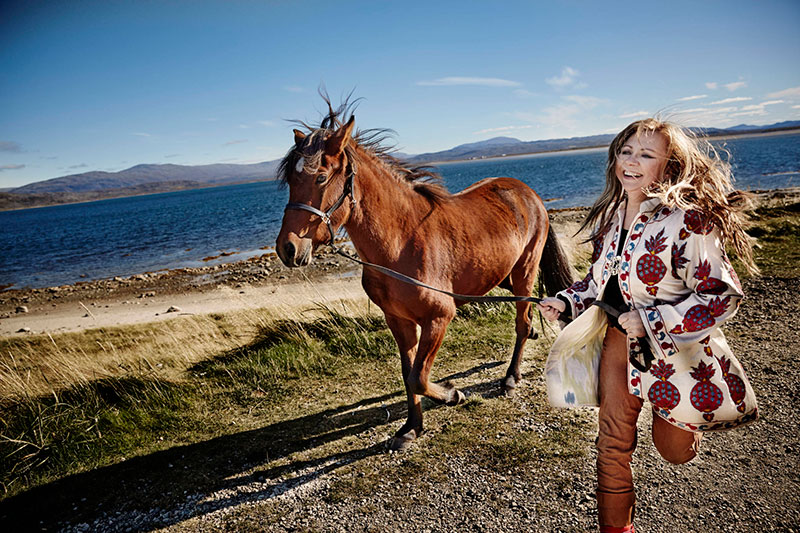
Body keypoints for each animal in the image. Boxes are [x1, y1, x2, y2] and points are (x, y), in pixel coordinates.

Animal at [278, 100, 572, 448]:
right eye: (290, 181)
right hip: (502, 276)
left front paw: (451, 395)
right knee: (525, 317)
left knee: (522, 322)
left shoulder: (439, 317)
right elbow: (409, 375)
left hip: (524, 271)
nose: (288, 248)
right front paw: (411, 428)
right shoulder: (399, 321)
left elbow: (419, 377)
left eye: (321, 177)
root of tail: (528, 192)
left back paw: (511, 377)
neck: (400, 245)